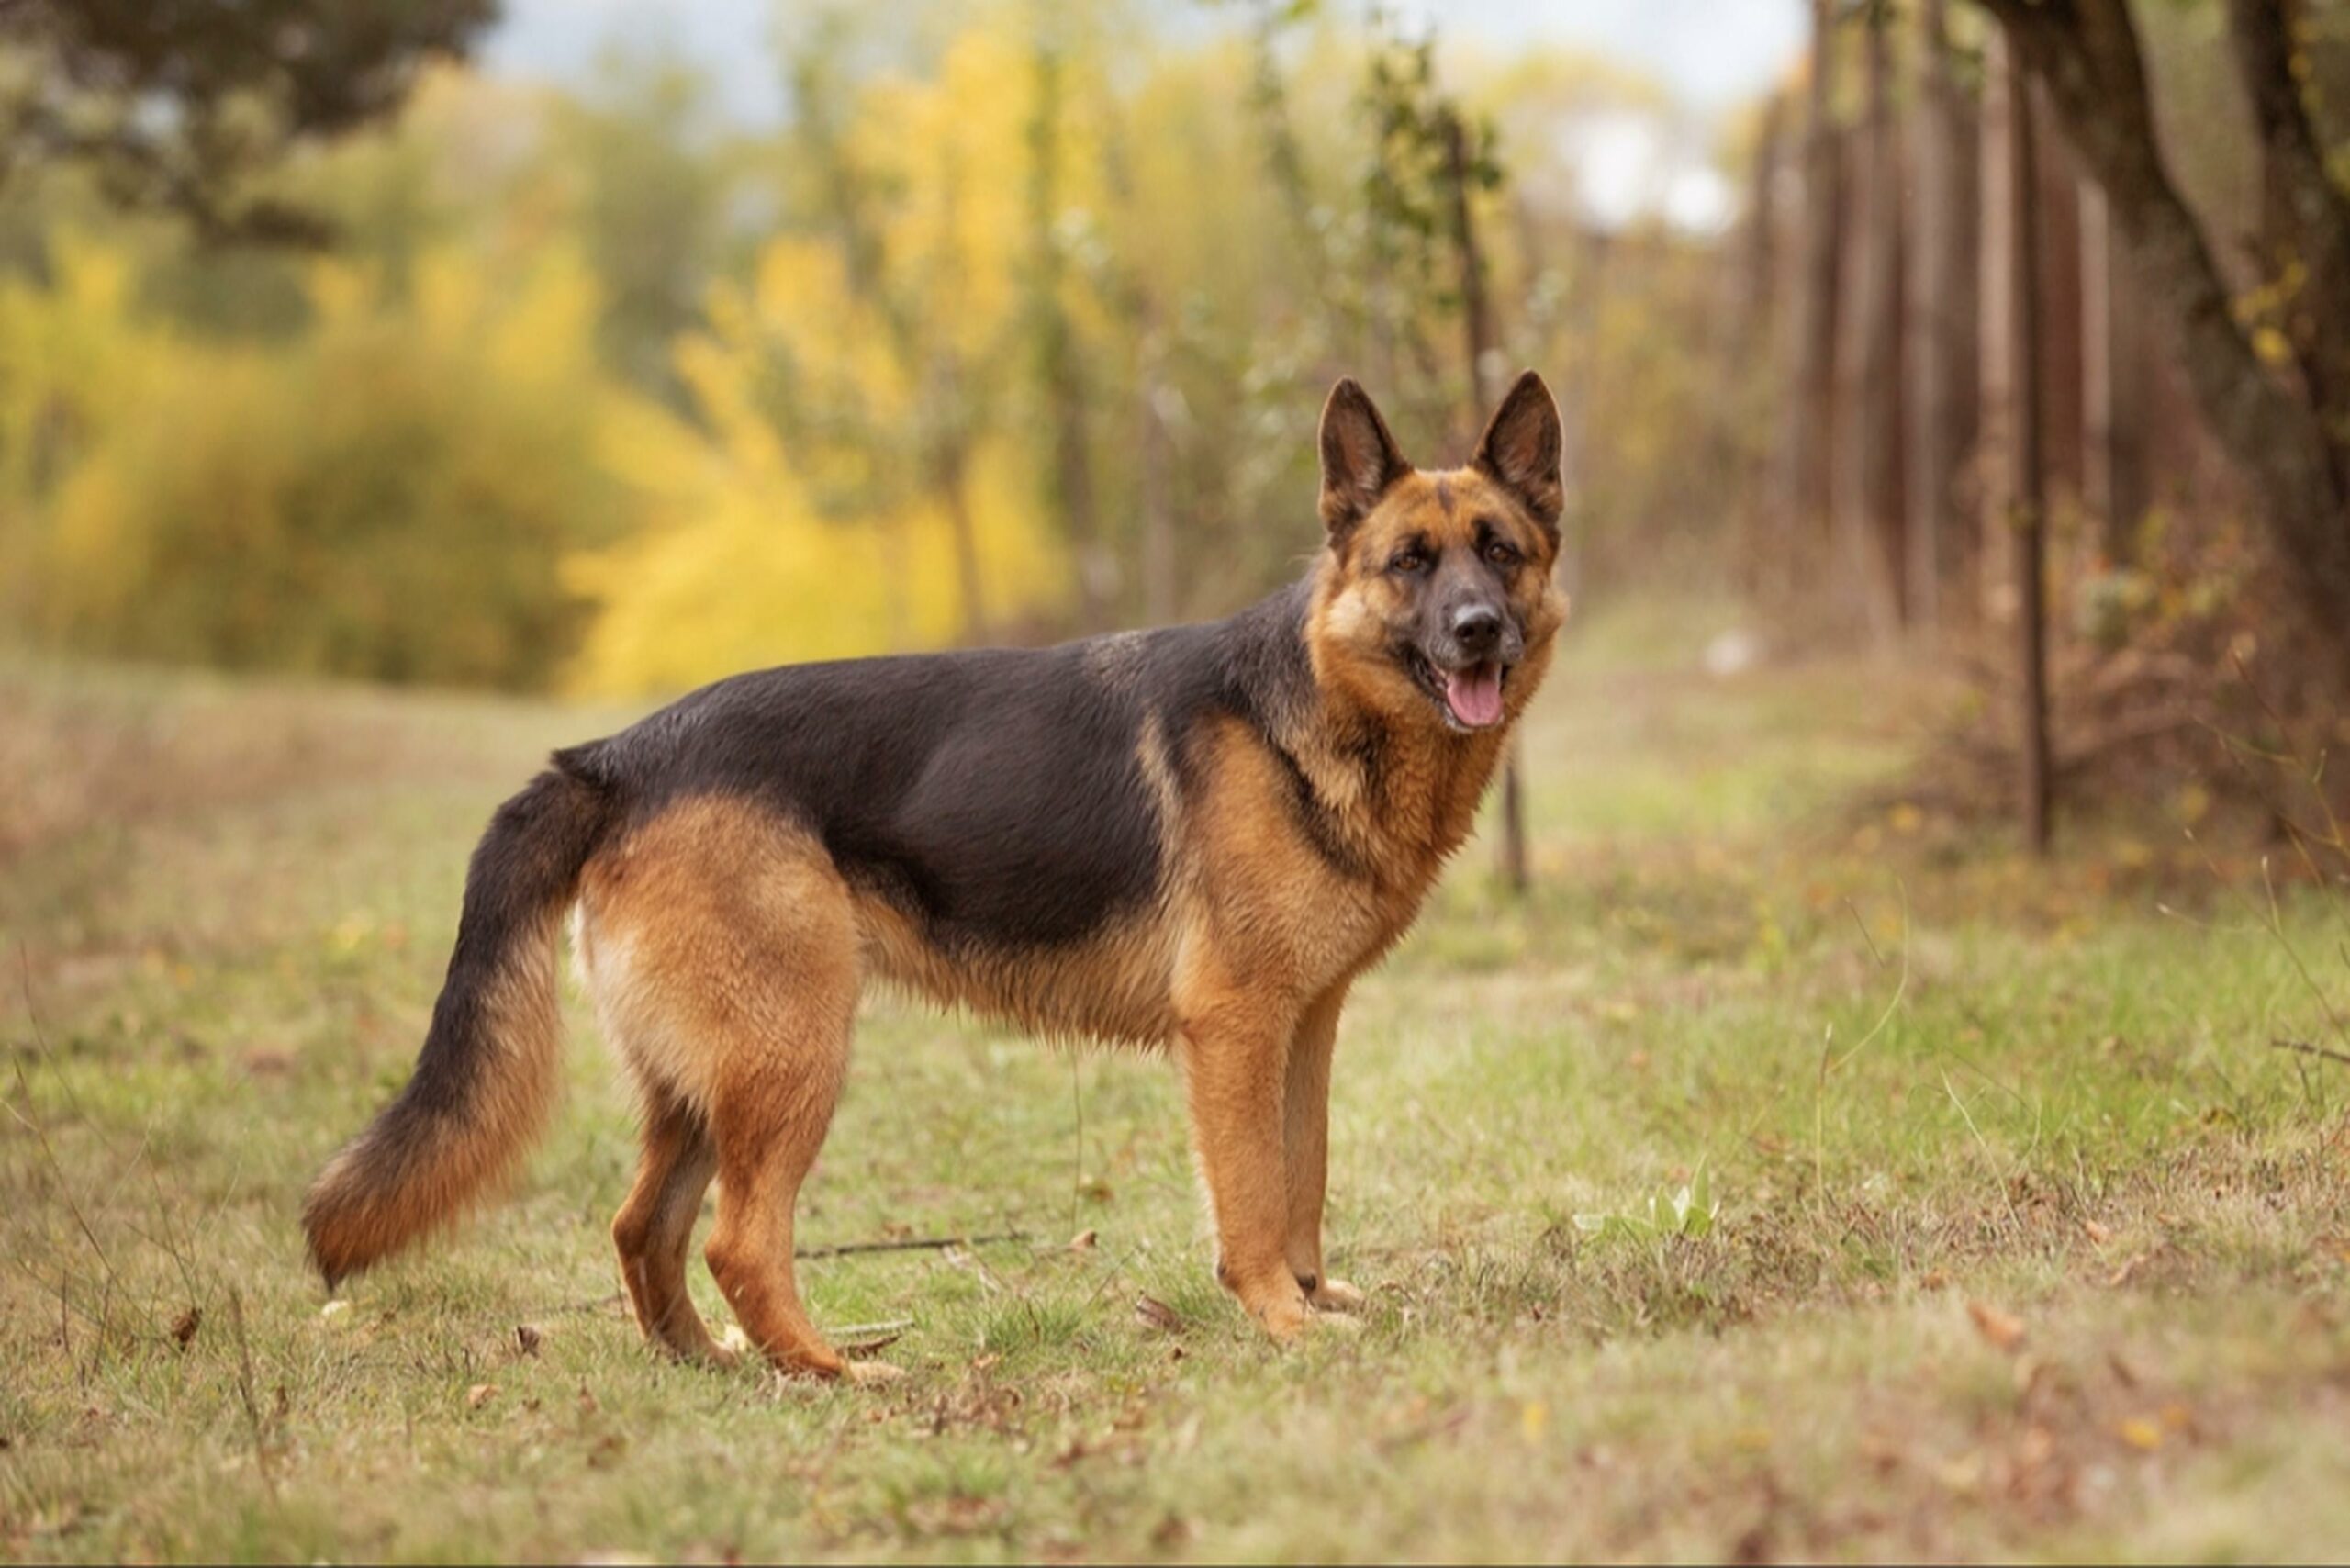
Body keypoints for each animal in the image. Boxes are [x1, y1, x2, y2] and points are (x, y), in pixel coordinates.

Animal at [308, 374, 1560, 1382]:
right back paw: (831, 1372)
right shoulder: (1236, 1029)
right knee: (735, 1240)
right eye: (1409, 563)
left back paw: (712, 1363)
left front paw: (1313, 1296)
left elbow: (1305, 1174)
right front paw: (1280, 1321)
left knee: (639, 1226)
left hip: (706, 1082)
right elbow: (1254, 1194)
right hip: (793, 1054)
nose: (1477, 630)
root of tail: (618, 756)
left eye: (1498, 550)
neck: (1314, 704)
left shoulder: (1306, 1027)